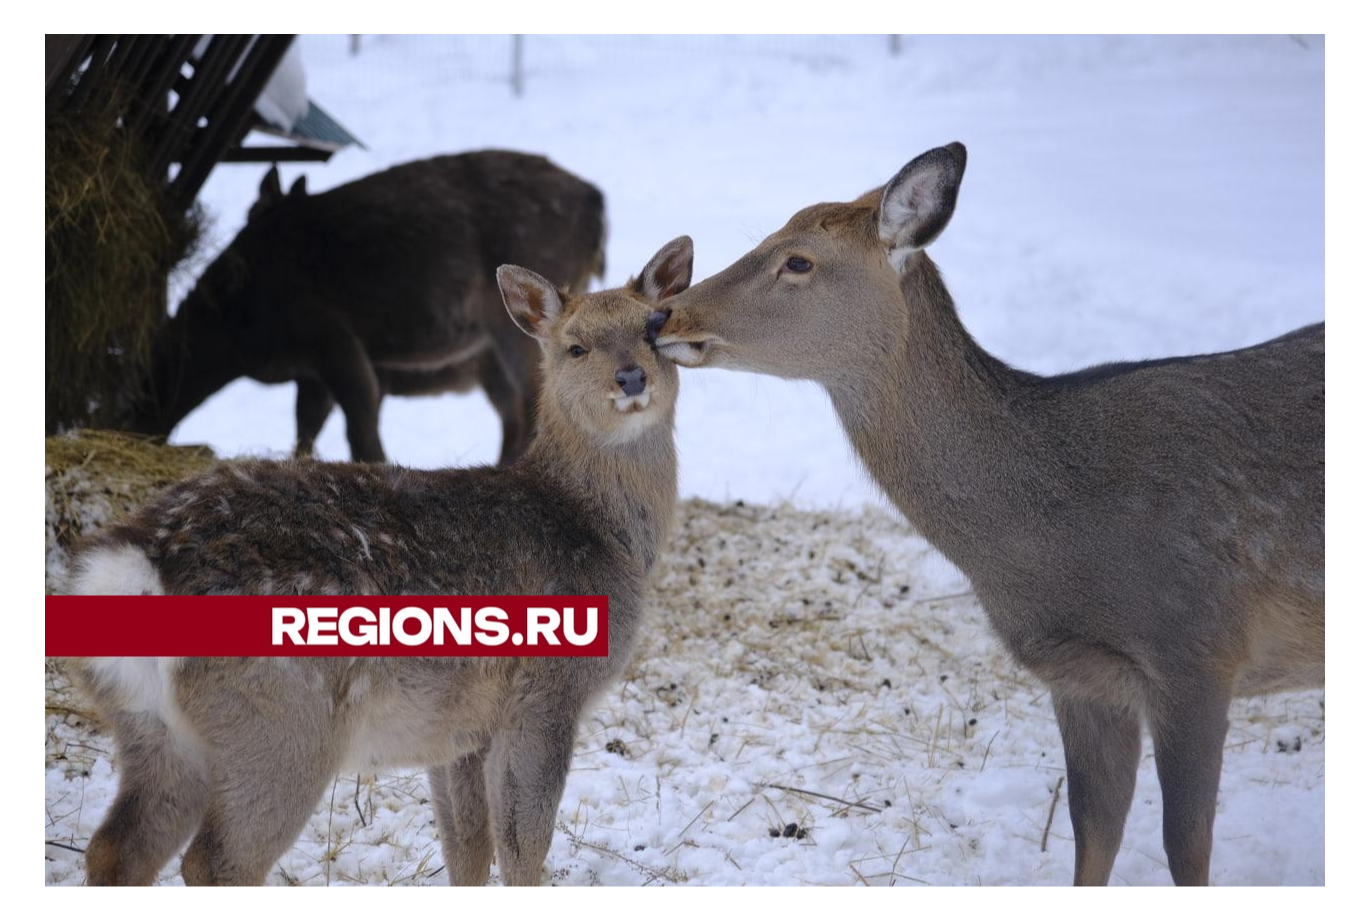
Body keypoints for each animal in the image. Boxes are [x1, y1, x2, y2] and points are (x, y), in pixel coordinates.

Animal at [69, 236, 697, 887]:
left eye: (653, 328)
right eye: (575, 346)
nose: (631, 376)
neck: (597, 531)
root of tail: (133, 568)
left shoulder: (461, 730)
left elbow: (467, 846)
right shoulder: (547, 695)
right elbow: (524, 847)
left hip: (151, 729)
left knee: (114, 846)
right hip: (279, 728)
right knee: (214, 859)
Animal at [653, 143, 1323, 887]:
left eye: (797, 260)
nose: (662, 317)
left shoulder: (1199, 648)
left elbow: (1185, 844)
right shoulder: (1082, 678)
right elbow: (1094, 832)